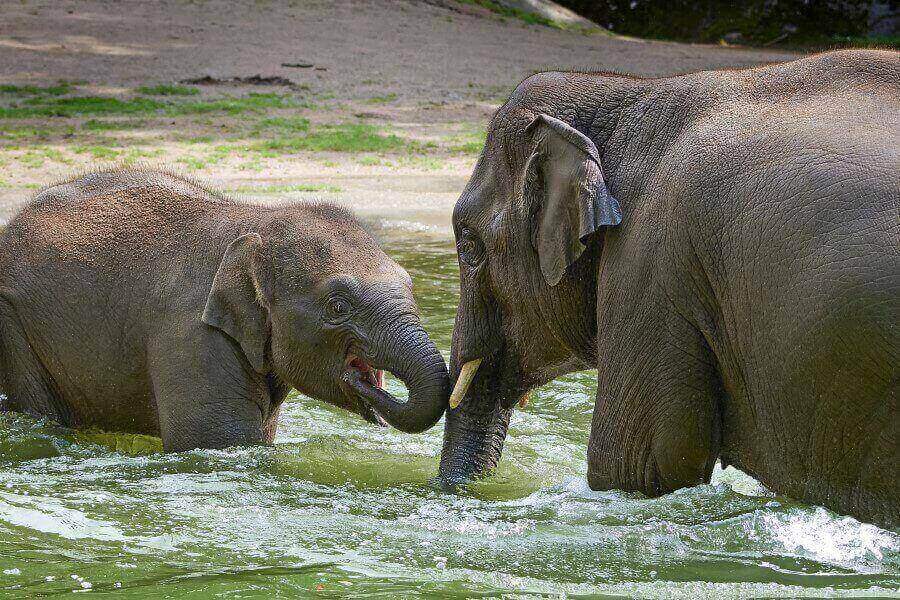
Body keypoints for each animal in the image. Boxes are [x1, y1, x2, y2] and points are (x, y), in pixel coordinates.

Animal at [0, 168, 450, 451]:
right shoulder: (191, 340)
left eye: (409, 284)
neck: (256, 222)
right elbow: (220, 443)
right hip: (14, 329)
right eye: (338, 306)